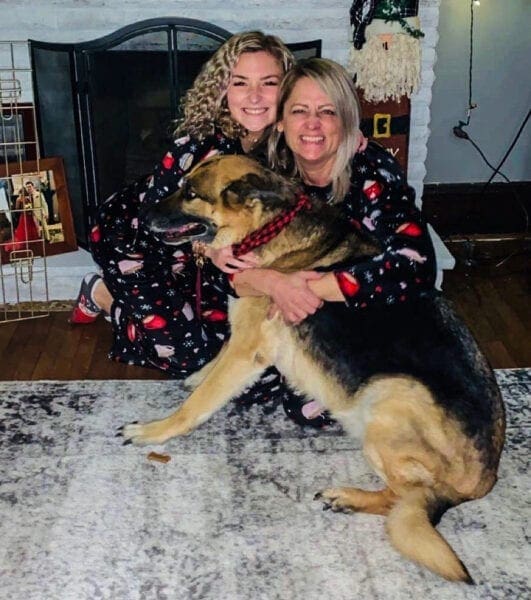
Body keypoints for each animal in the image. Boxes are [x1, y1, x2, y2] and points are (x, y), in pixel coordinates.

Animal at [121, 154, 508, 580]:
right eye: (181, 184)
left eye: (190, 193)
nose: (140, 213)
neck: (267, 228)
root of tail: (483, 479)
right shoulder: (240, 338)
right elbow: (213, 364)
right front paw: (197, 376)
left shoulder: (247, 350)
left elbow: (198, 404)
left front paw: (156, 429)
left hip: (390, 395)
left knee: (402, 499)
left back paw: (349, 498)